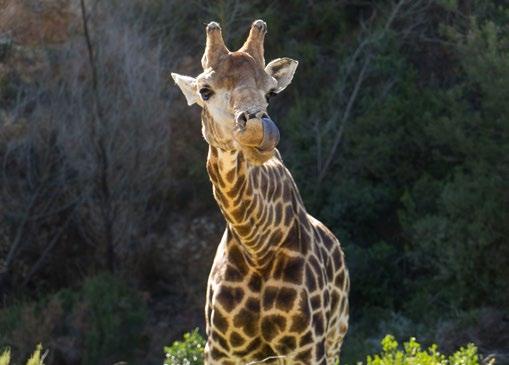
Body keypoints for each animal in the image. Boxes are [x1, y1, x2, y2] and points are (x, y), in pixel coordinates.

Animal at [171, 19, 350, 364]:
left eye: (271, 92)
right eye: (204, 91)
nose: (259, 130)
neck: (256, 246)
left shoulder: (308, 347)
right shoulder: (221, 350)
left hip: (336, 337)